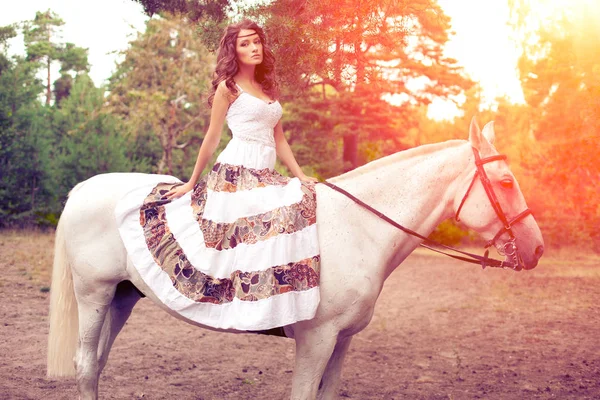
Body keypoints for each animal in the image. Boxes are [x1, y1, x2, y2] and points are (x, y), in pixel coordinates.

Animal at [45, 119, 544, 400]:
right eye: (504, 182)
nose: (537, 248)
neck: (358, 227)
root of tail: (84, 189)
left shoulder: (341, 342)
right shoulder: (316, 341)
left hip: (123, 298)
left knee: (97, 365)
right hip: (94, 295)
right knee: (86, 366)